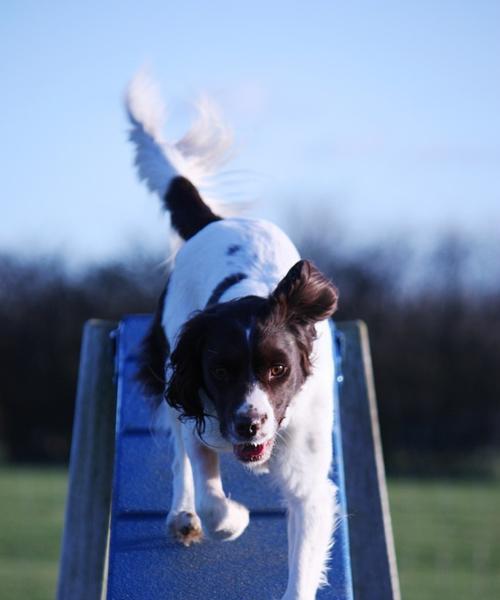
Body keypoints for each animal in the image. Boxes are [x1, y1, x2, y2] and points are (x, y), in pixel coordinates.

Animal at [128, 72, 340, 596]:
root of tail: (218, 221)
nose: (249, 424)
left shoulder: (309, 478)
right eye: (221, 371)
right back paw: (182, 516)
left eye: (279, 368)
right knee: (180, 460)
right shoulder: (200, 417)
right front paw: (234, 518)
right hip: (172, 381)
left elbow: (304, 548)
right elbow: (210, 495)